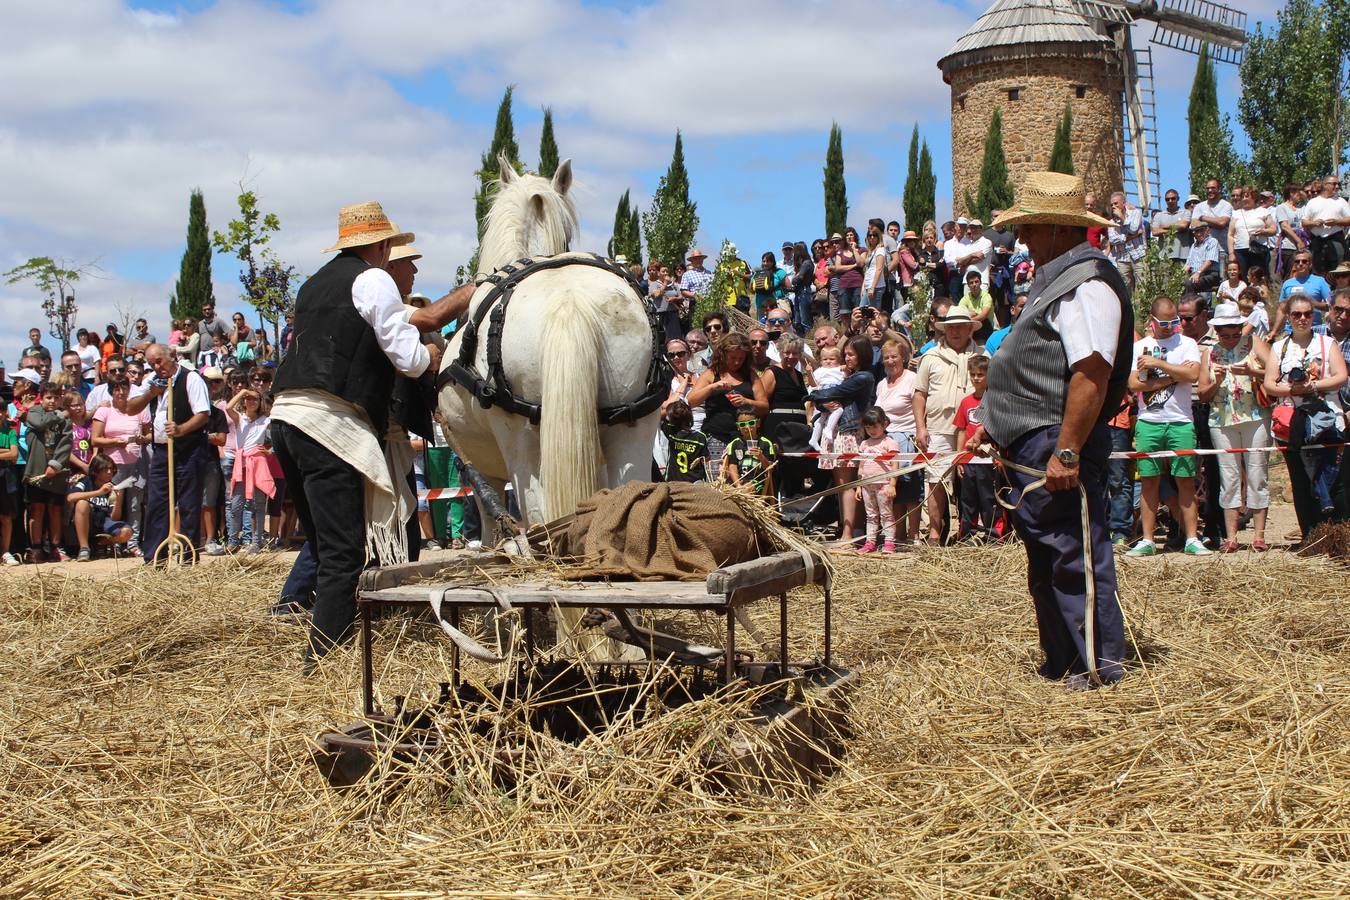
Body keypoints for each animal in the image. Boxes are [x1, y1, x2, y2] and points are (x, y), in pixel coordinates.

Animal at [434, 159, 661, 647]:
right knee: (624, 502)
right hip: (635, 425)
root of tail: (569, 301)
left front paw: (493, 619)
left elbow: (494, 527)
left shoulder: (484, 470)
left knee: (539, 520)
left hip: (521, 443)